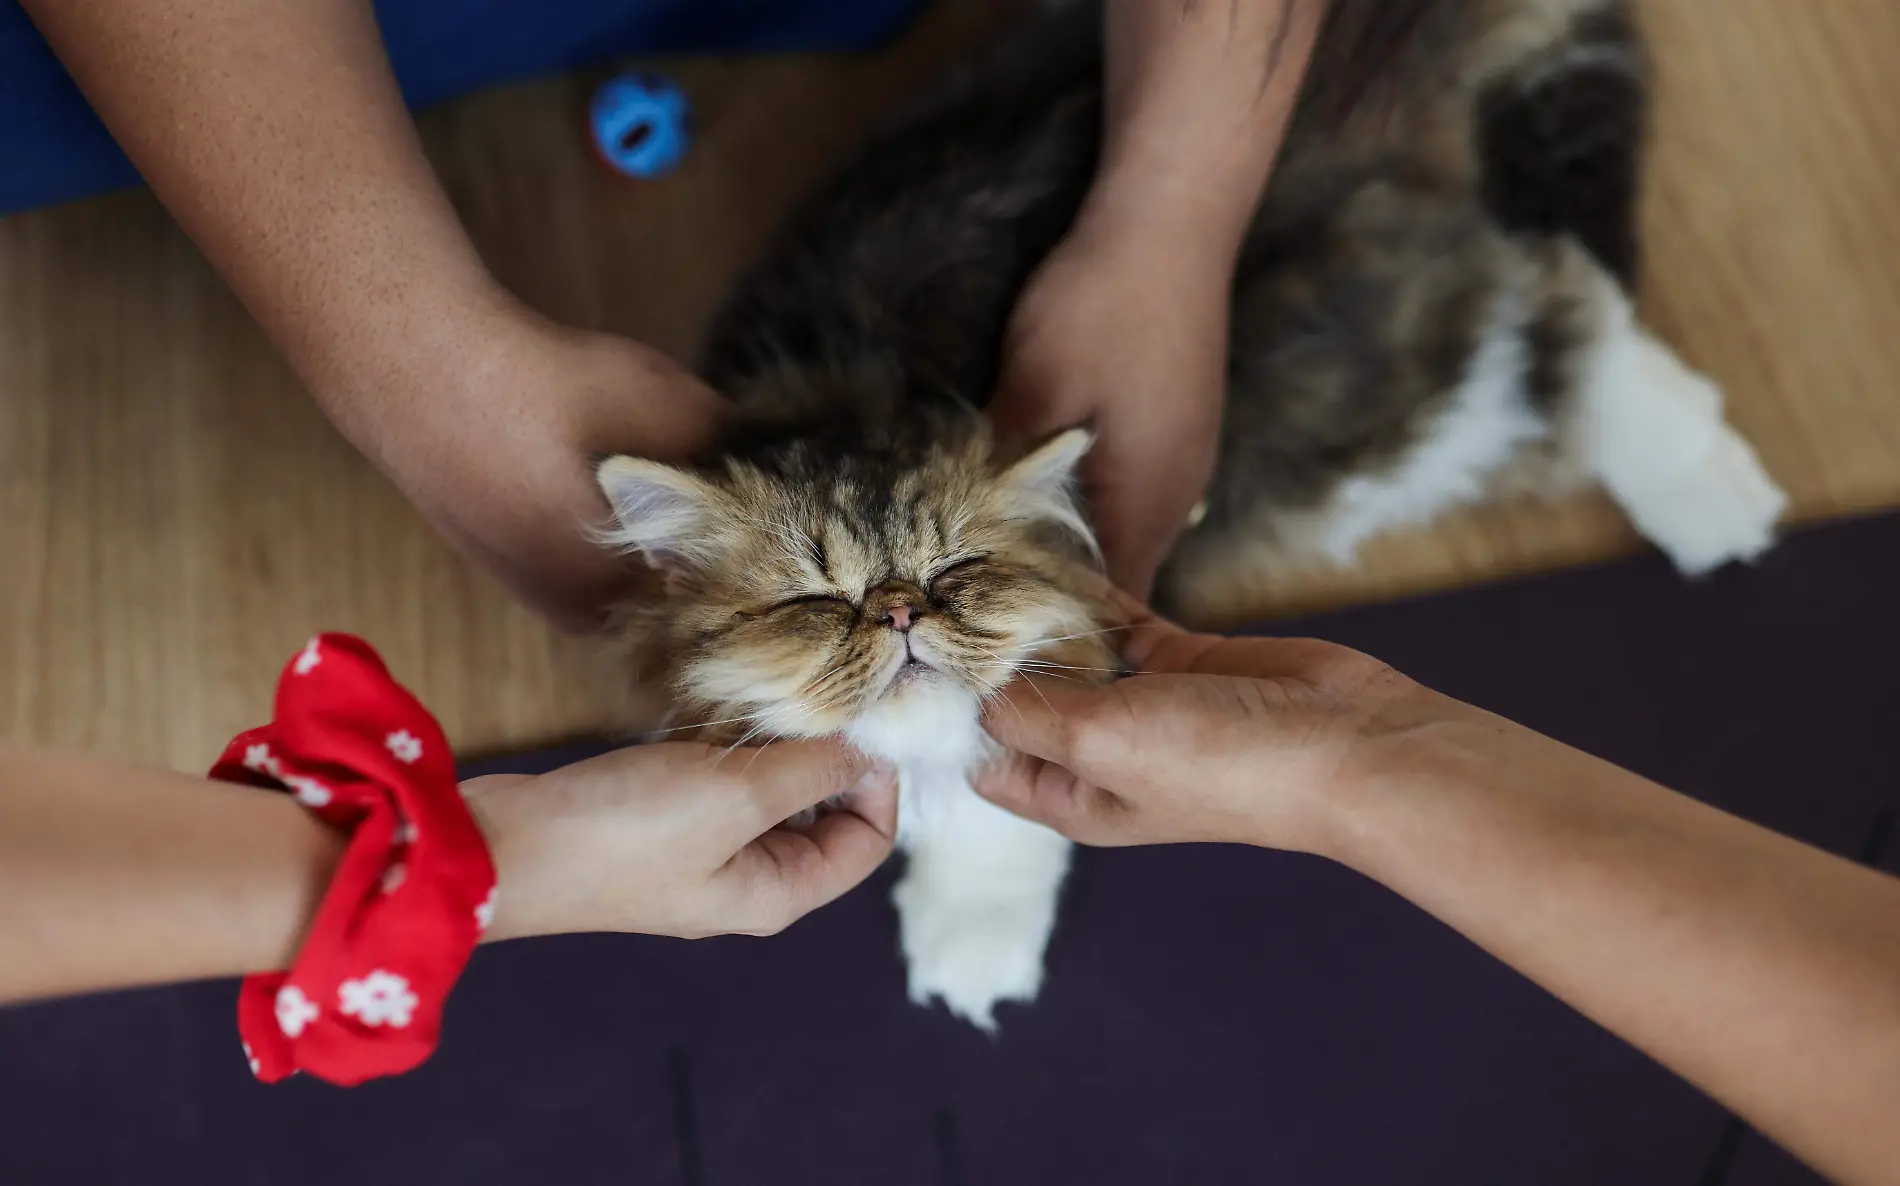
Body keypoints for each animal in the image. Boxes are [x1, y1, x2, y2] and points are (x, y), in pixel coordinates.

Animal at [596, 0, 1793, 1026]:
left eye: (953, 574)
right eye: (812, 597)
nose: (895, 613)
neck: (862, 386)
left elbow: (991, 820)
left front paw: (973, 943)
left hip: (1368, 396)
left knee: (1561, 309)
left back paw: (1714, 500)